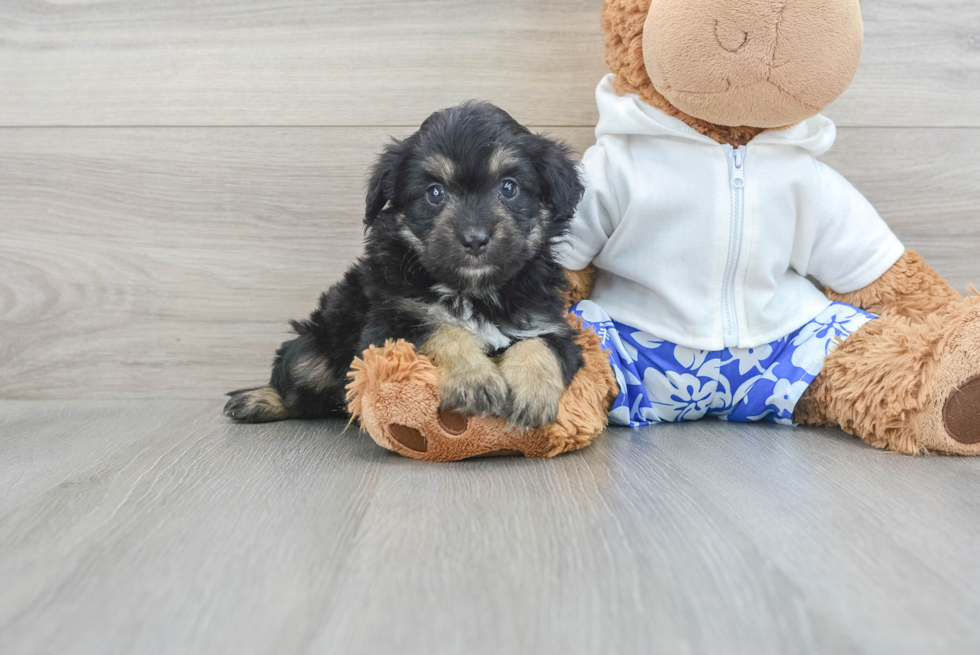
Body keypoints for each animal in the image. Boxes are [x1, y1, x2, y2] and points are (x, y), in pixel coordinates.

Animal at [226, 102, 584, 430]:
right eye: (434, 193)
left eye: (509, 187)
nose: (474, 239)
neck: (472, 292)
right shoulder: (390, 325)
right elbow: (443, 330)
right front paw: (474, 380)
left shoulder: (548, 324)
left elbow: (541, 346)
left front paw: (534, 393)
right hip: (312, 350)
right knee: (298, 389)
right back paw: (255, 400)